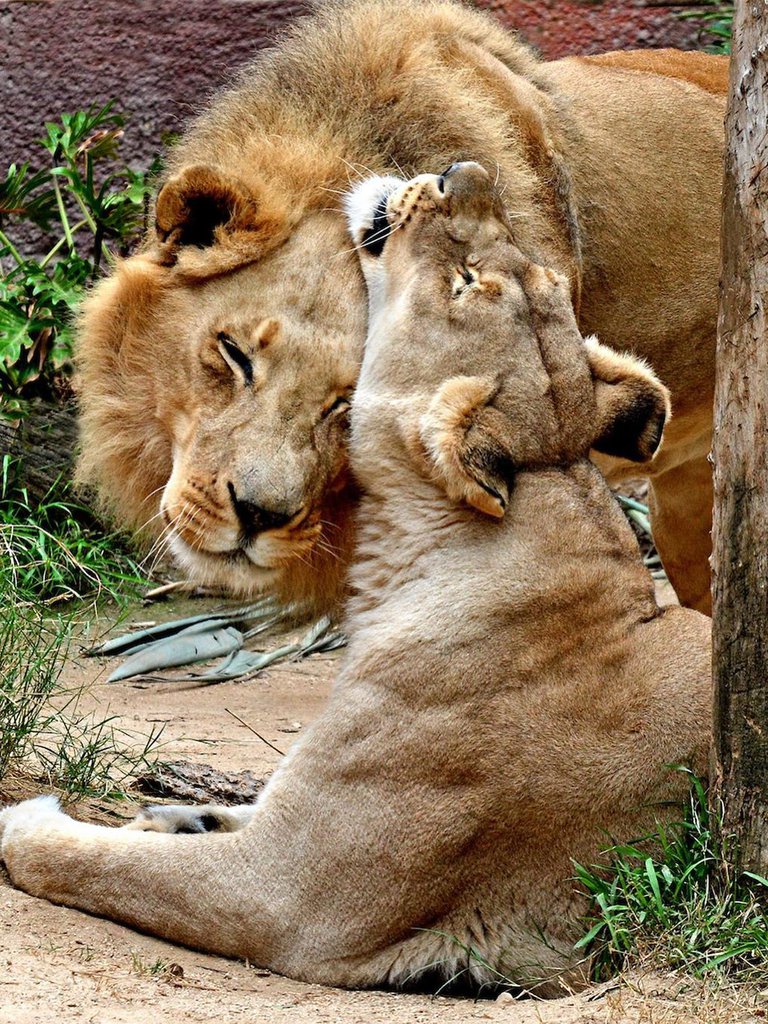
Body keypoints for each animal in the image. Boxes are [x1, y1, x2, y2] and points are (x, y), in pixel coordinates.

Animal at [0, 163, 712, 995]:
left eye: (465, 283)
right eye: (530, 276)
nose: (462, 171)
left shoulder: (286, 897)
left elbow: (106, 865)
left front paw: (32, 820)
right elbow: (219, 816)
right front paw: (180, 815)